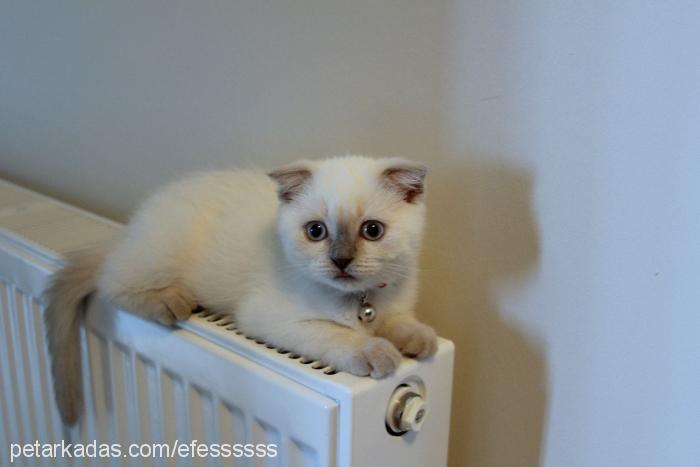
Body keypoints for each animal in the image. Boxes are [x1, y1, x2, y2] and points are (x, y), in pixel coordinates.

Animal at [42, 155, 438, 426]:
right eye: (316, 231)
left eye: (372, 230)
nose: (340, 260)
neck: (364, 303)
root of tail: (131, 228)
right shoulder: (270, 318)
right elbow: (338, 335)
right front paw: (377, 352)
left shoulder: (394, 305)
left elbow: (402, 322)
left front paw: (421, 341)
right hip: (160, 255)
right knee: (112, 280)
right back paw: (171, 302)